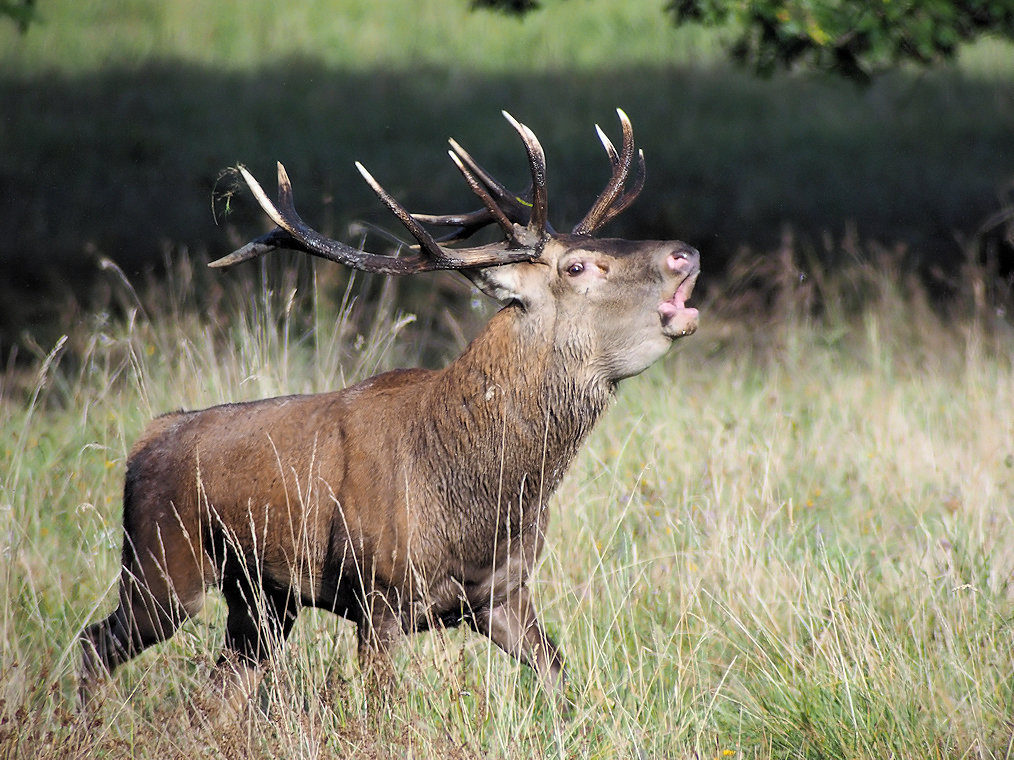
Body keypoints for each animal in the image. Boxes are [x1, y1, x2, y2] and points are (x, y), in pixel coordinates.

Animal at [79, 110, 700, 711]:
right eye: (576, 267)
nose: (685, 252)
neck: (477, 504)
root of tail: (147, 439)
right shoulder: (378, 594)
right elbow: (382, 713)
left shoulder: (501, 595)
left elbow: (561, 682)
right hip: (161, 565)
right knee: (95, 640)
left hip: (262, 600)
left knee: (220, 685)